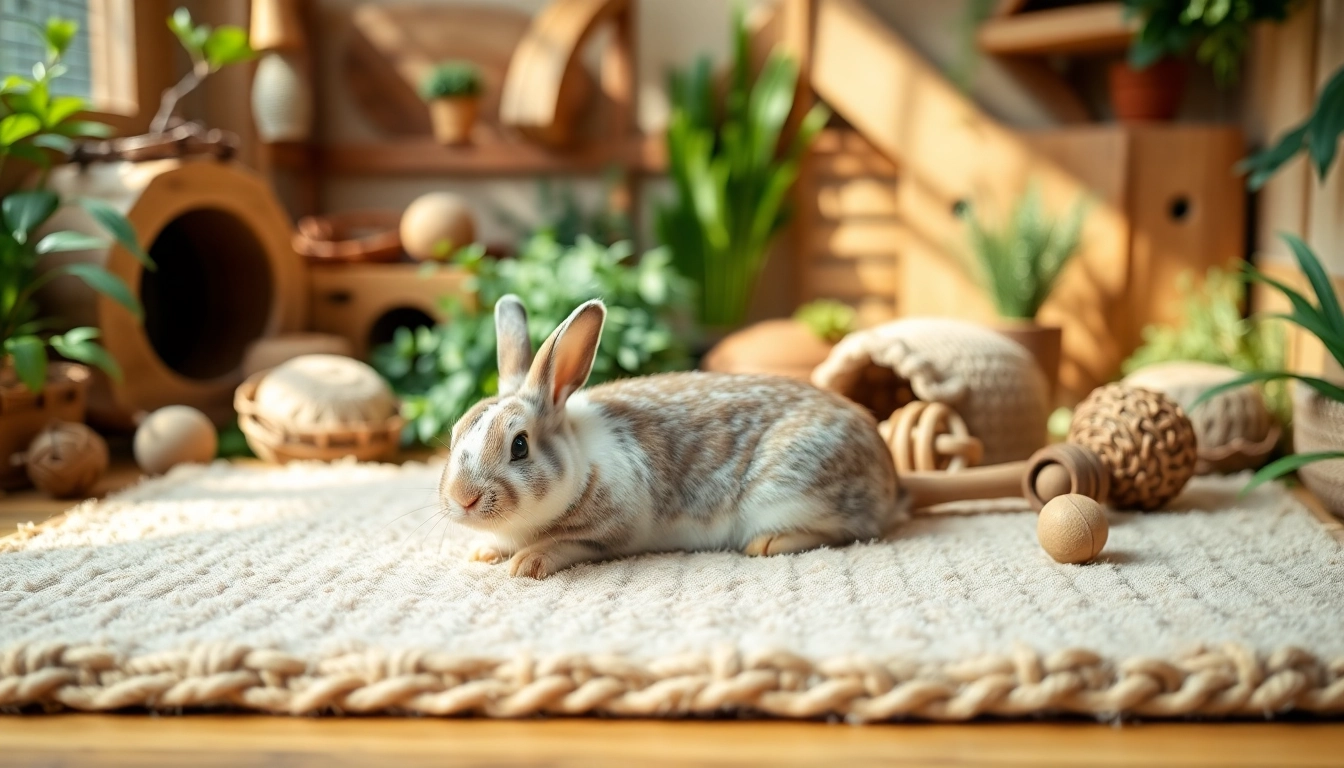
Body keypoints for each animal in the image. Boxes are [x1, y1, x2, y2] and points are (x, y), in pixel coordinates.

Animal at [438, 294, 904, 579]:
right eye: (455, 432)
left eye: (519, 445)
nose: (463, 498)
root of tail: (891, 479)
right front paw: (483, 552)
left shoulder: (612, 532)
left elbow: (569, 544)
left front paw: (527, 563)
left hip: (787, 495)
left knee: (850, 531)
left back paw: (768, 544)